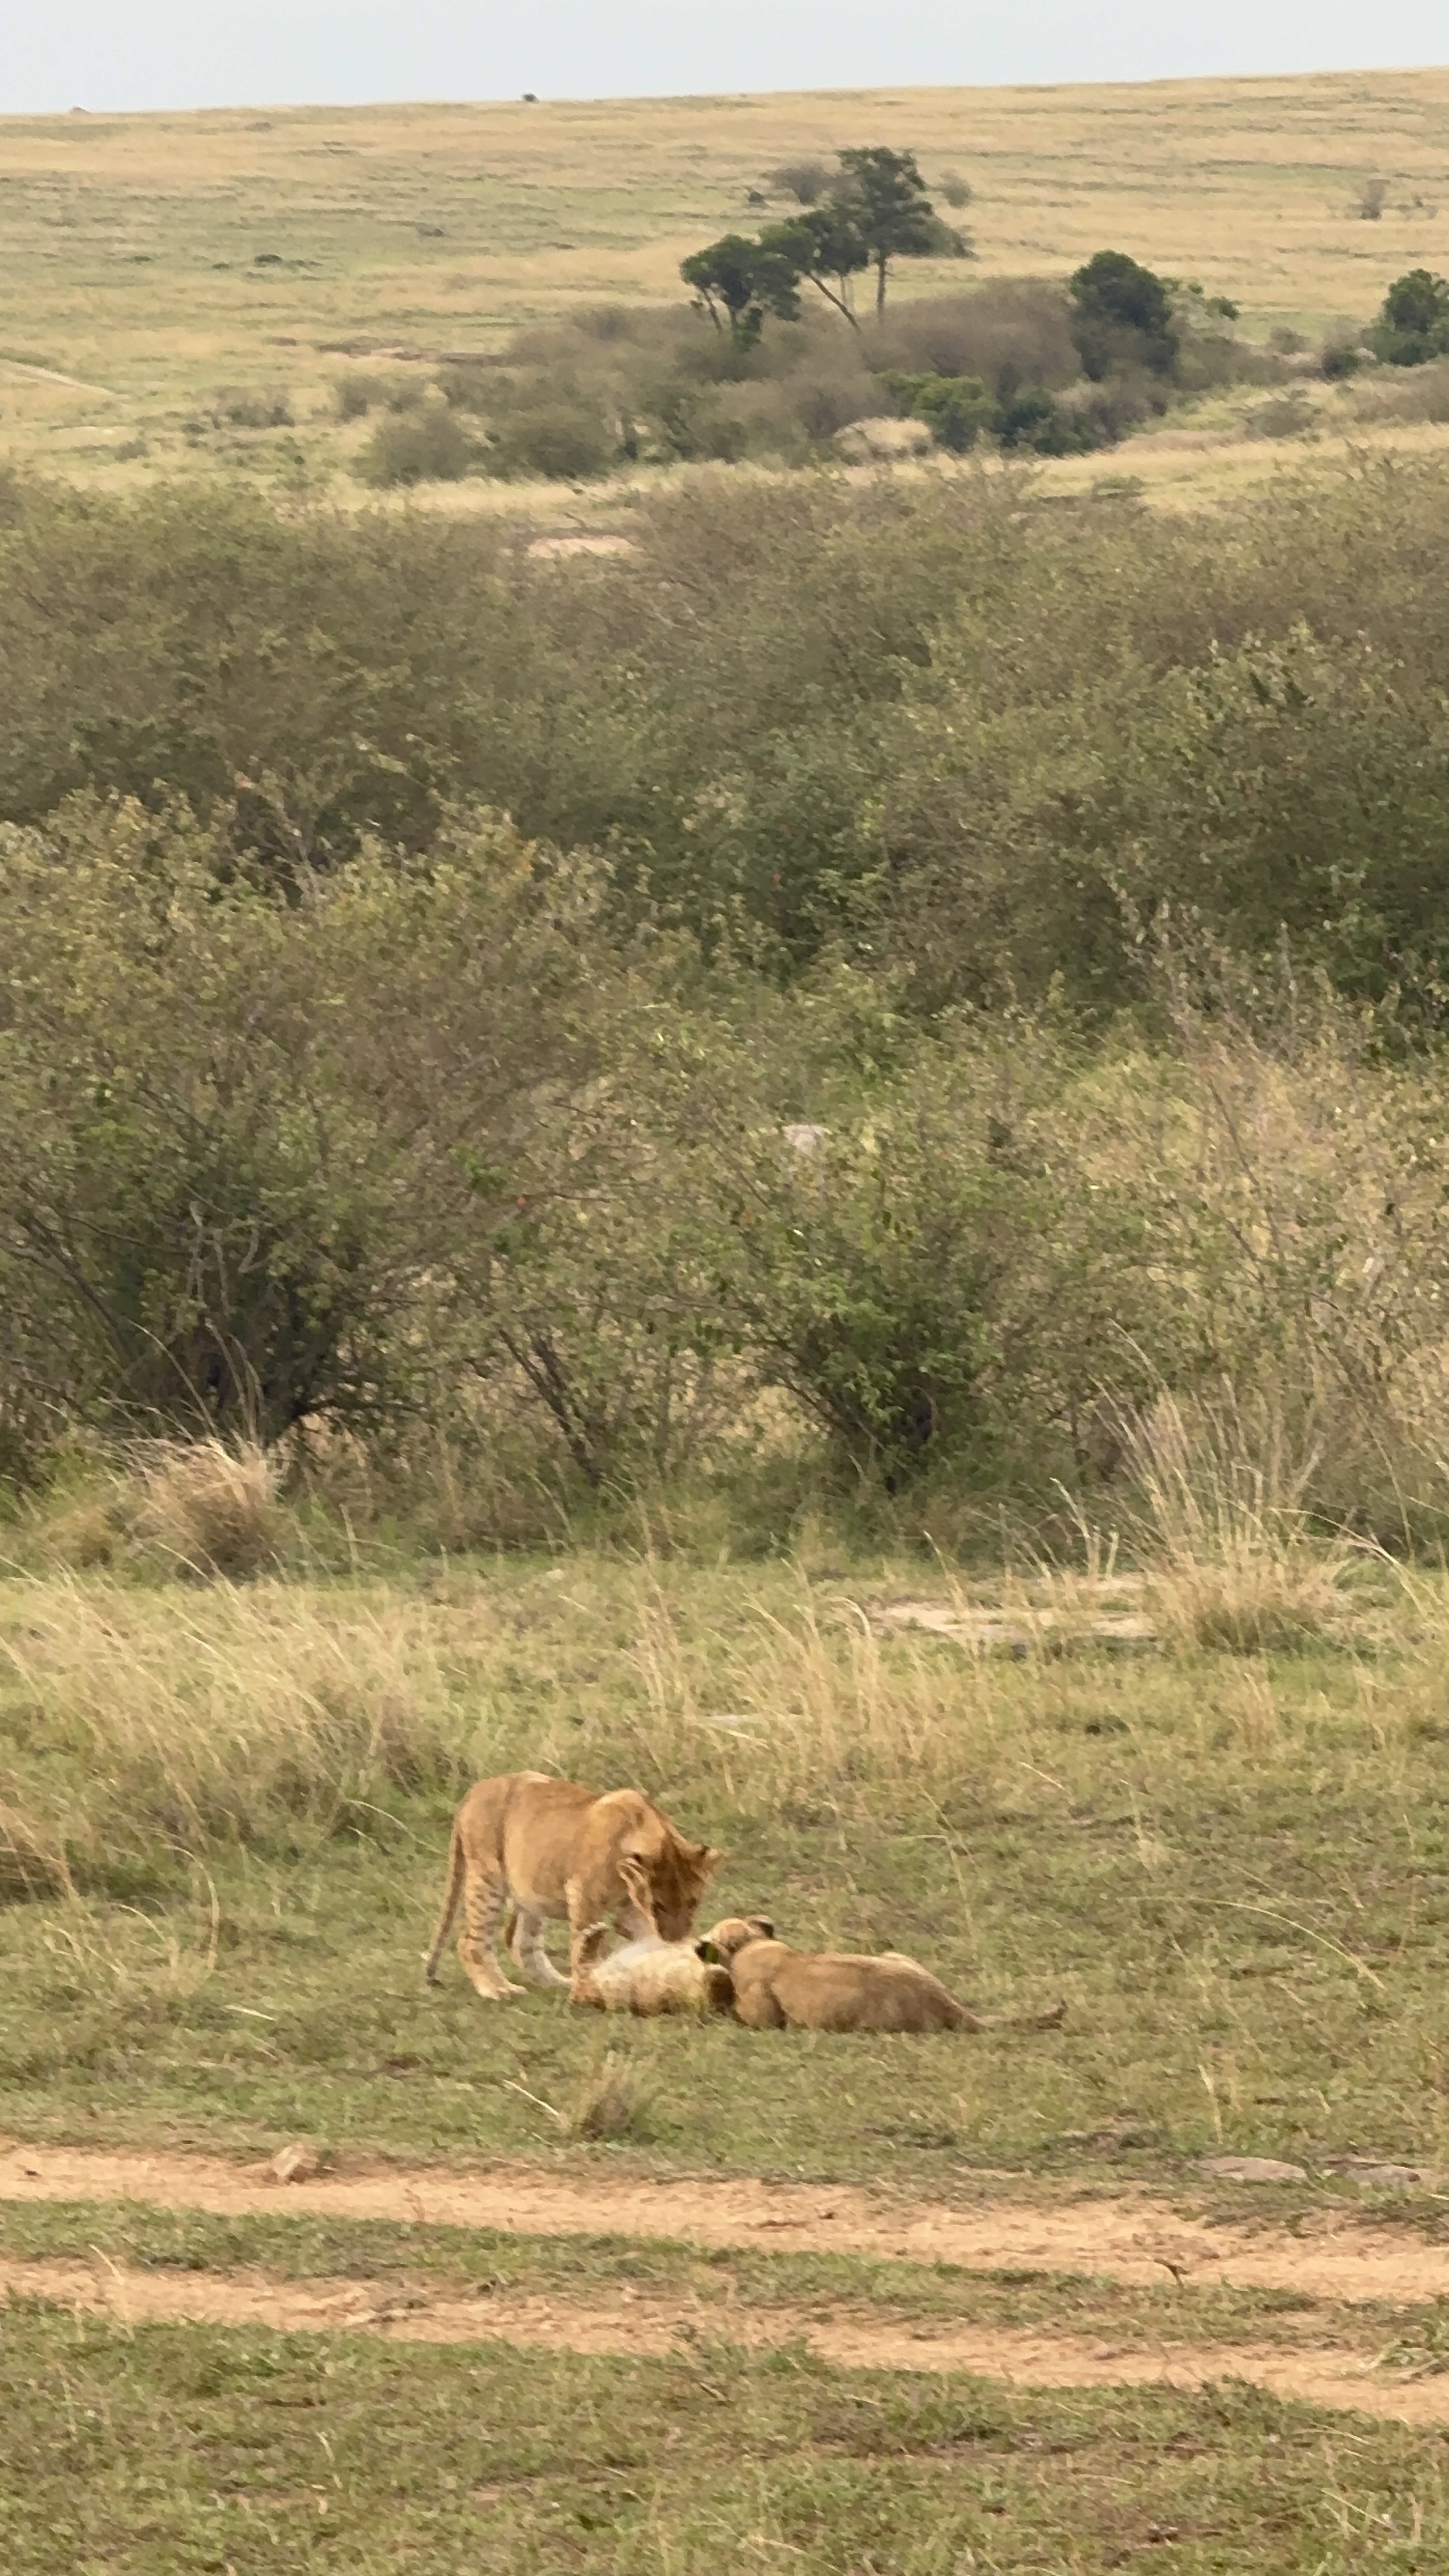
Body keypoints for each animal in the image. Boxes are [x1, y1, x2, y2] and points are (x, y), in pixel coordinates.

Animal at [423, 1771, 723, 2002]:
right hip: (487, 1880)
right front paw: (587, 1987)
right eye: (658, 1905)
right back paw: (496, 1989)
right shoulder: (584, 1896)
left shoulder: (631, 1909)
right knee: (470, 1941)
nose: (677, 1938)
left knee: (520, 1942)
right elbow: (583, 1950)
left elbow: (644, 1937)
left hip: (531, 1889)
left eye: (693, 1903)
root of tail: (474, 1790)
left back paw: (554, 1982)